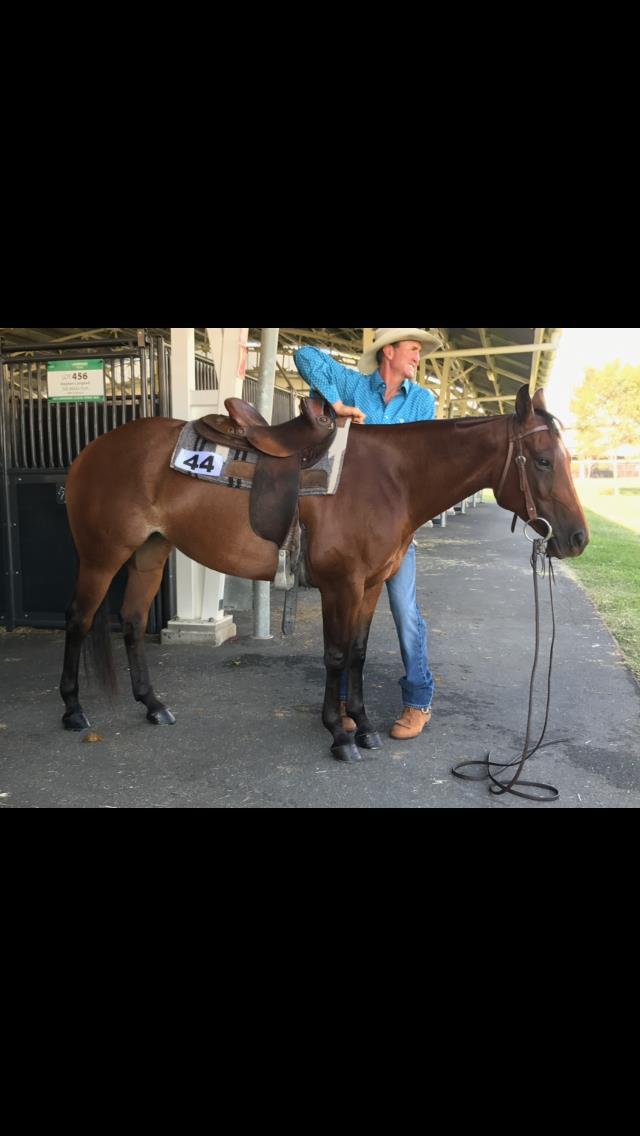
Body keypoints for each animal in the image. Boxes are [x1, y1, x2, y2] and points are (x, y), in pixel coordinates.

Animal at [59, 384, 588, 762]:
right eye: (544, 461)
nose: (578, 539)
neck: (392, 480)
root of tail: (92, 451)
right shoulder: (342, 585)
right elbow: (335, 655)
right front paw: (339, 733)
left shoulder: (370, 585)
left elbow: (357, 653)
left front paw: (365, 726)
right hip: (102, 556)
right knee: (79, 621)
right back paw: (73, 710)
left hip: (151, 551)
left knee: (131, 621)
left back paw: (152, 705)